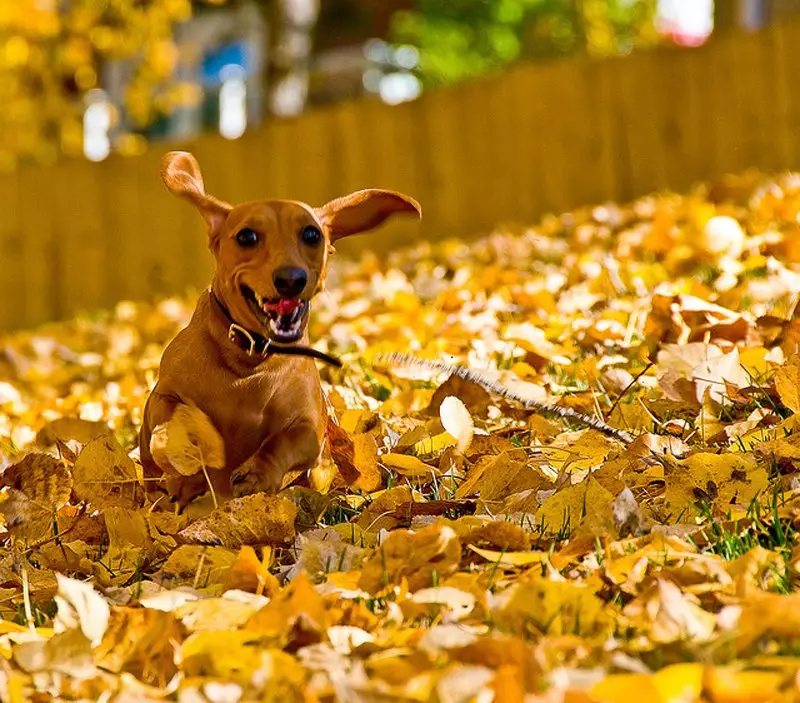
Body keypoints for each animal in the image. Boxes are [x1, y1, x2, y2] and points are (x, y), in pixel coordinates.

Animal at [140, 153, 422, 506]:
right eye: (246, 236)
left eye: (312, 235)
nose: (290, 279)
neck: (249, 361)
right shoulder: (163, 397)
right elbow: (180, 418)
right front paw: (196, 457)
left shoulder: (308, 425)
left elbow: (283, 442)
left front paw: (255, 474)